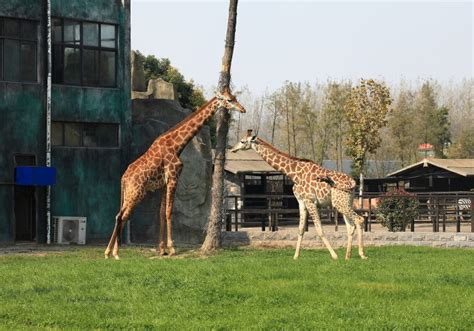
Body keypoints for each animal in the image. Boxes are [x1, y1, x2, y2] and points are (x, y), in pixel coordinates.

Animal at [105, 89, 246, 260]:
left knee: (120, 215)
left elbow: (161, 212)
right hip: (136, 192)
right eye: (229, 100)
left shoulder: (165, 182)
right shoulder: (173, 177)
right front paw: (172, 248)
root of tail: (124, 178)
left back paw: (110, 252)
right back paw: (114, 252)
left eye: (234, 97)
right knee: (121, 216)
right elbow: (169, 211)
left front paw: (161, 249)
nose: (242, 109)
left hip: (130, 192)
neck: (176, 145)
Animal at [231, 131, 368, 260]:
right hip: (344, 202)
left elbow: (319, 229)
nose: (232, 149)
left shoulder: (310, 201)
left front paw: (334, 255)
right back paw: (347, 256)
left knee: (359, 219)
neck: (293, 174)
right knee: (350, 226)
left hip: (340, 203)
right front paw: (296, 256)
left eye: (242, 141)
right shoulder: (301, 202)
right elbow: (301, 229)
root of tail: (353, 182)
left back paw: (362, 254)